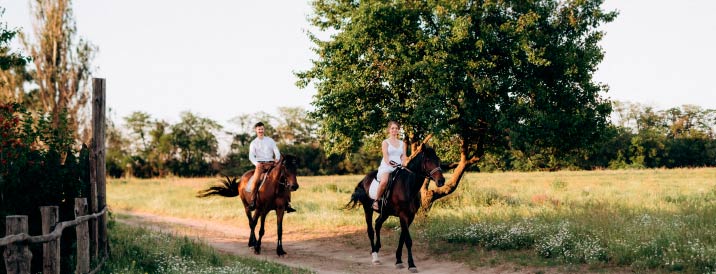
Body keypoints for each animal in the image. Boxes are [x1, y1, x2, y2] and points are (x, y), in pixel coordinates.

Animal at [346, 144, 444, 272]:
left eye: (438, 159)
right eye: (427, 160)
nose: (441, 181)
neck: (408, 186)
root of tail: (363, 180)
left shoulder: (410, 216)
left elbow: (402, 238)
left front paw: (398, 260)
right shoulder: (403, 215)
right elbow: (408, 240)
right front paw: (411, 265)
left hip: (385, 212)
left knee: (377, 224)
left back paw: (377, 247)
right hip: (368, 210)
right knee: (370, 230)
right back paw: (375, 257)